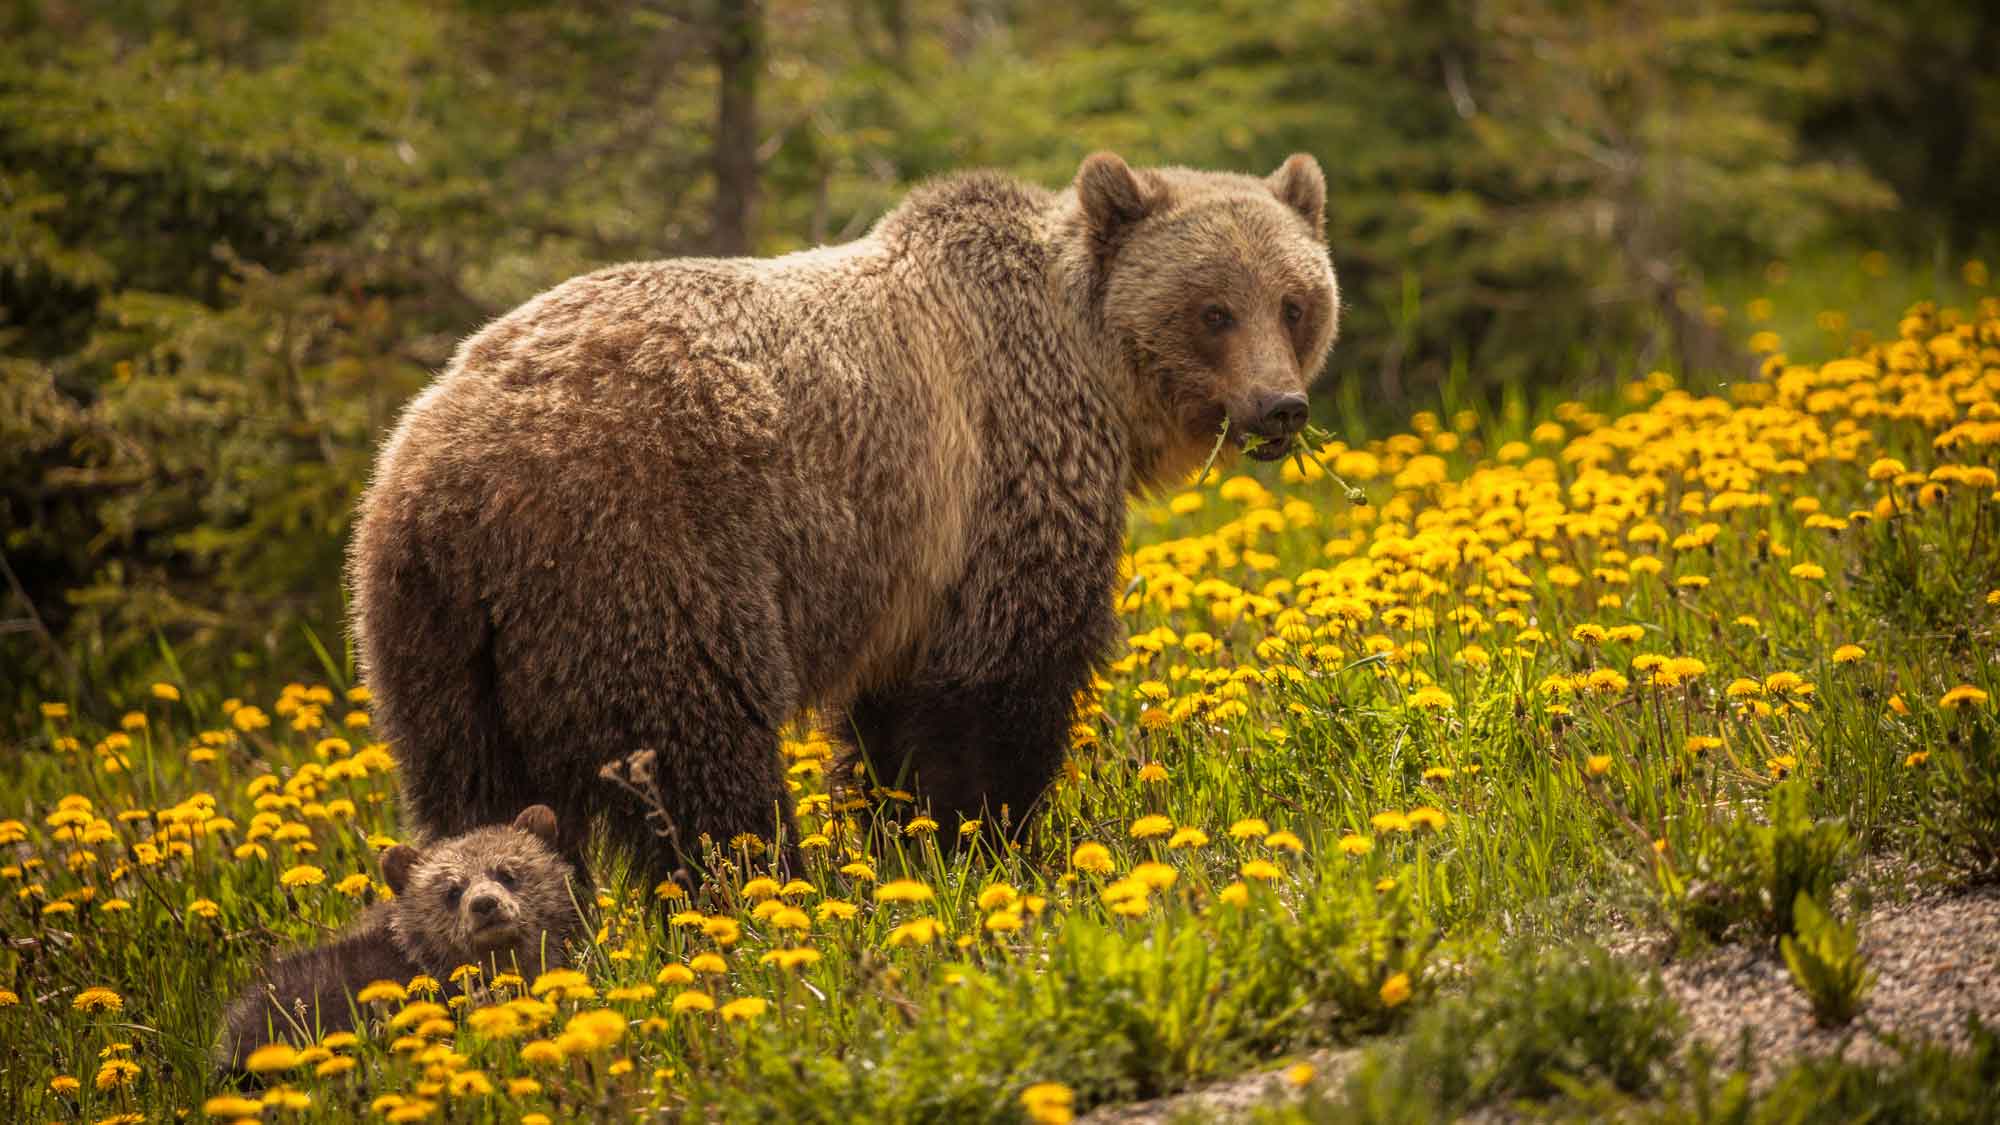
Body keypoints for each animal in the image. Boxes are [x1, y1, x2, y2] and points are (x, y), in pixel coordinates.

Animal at [349, 151, 1339, 886]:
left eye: (1295, 302)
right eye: (1214, 309)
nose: (1280, 407)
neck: (1091, 369)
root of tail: (444, 480)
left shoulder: (912, 563)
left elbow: (893, 719)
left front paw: (906, 838)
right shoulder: (1002, 476)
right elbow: (1002, 682)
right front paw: (992, 844)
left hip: (434, 644)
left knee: (474, 796)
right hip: (641, 558)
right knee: (703, 758)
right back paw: (763, 892)